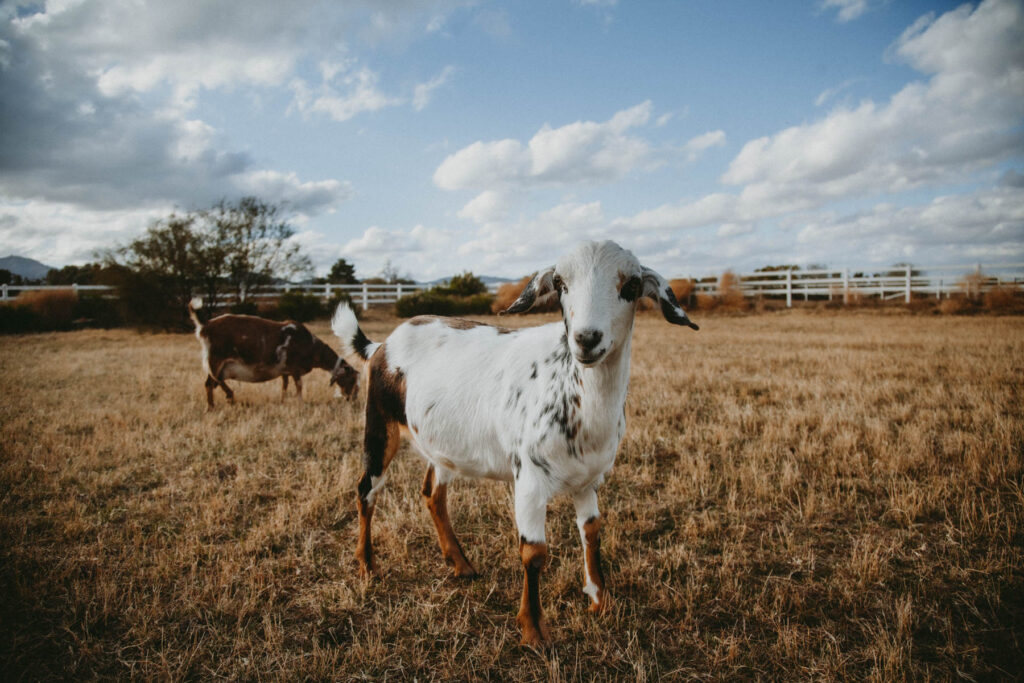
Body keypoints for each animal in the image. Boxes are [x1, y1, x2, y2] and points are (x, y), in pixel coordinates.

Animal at [189, 296, 360, 409]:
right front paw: (301, 404)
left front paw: (282, 401)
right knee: (214, 379)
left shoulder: (285, 371)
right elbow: (299, 386)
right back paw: (228, 397)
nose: (352, 399)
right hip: (216, 359)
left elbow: (284, 386)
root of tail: (205, 325)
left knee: (209, 383)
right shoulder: (295, 368)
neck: (311, 345)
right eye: (351, 379)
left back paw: (212, 406)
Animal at [331, 240, 700, 647]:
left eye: (632, 286)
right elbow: (534, 552)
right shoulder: (529, 479)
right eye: (560, 283)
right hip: (380, 423)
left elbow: (592, 532)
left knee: (432, 494)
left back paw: (461, 564)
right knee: (367, 489)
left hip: (442, 445)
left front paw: (600, 600)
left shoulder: (589, 479)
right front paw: (533, 629)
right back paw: (367, 565)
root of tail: (381, 345)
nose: (586, 339)